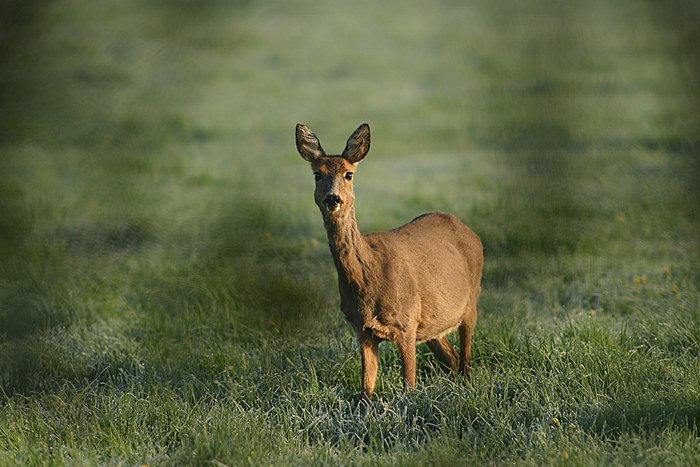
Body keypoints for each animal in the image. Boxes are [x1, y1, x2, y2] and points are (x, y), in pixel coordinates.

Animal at [294, 123, 482, 398]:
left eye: (349, 174)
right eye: (318, 174)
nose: (333, 198)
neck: (368, 278)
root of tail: (467, 228)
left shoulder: (406, 322)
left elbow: (409, 385)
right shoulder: (362, 330)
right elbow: (366, 391)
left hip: (471, 300)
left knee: (466, 358)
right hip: (433, 322)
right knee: (453, 358)